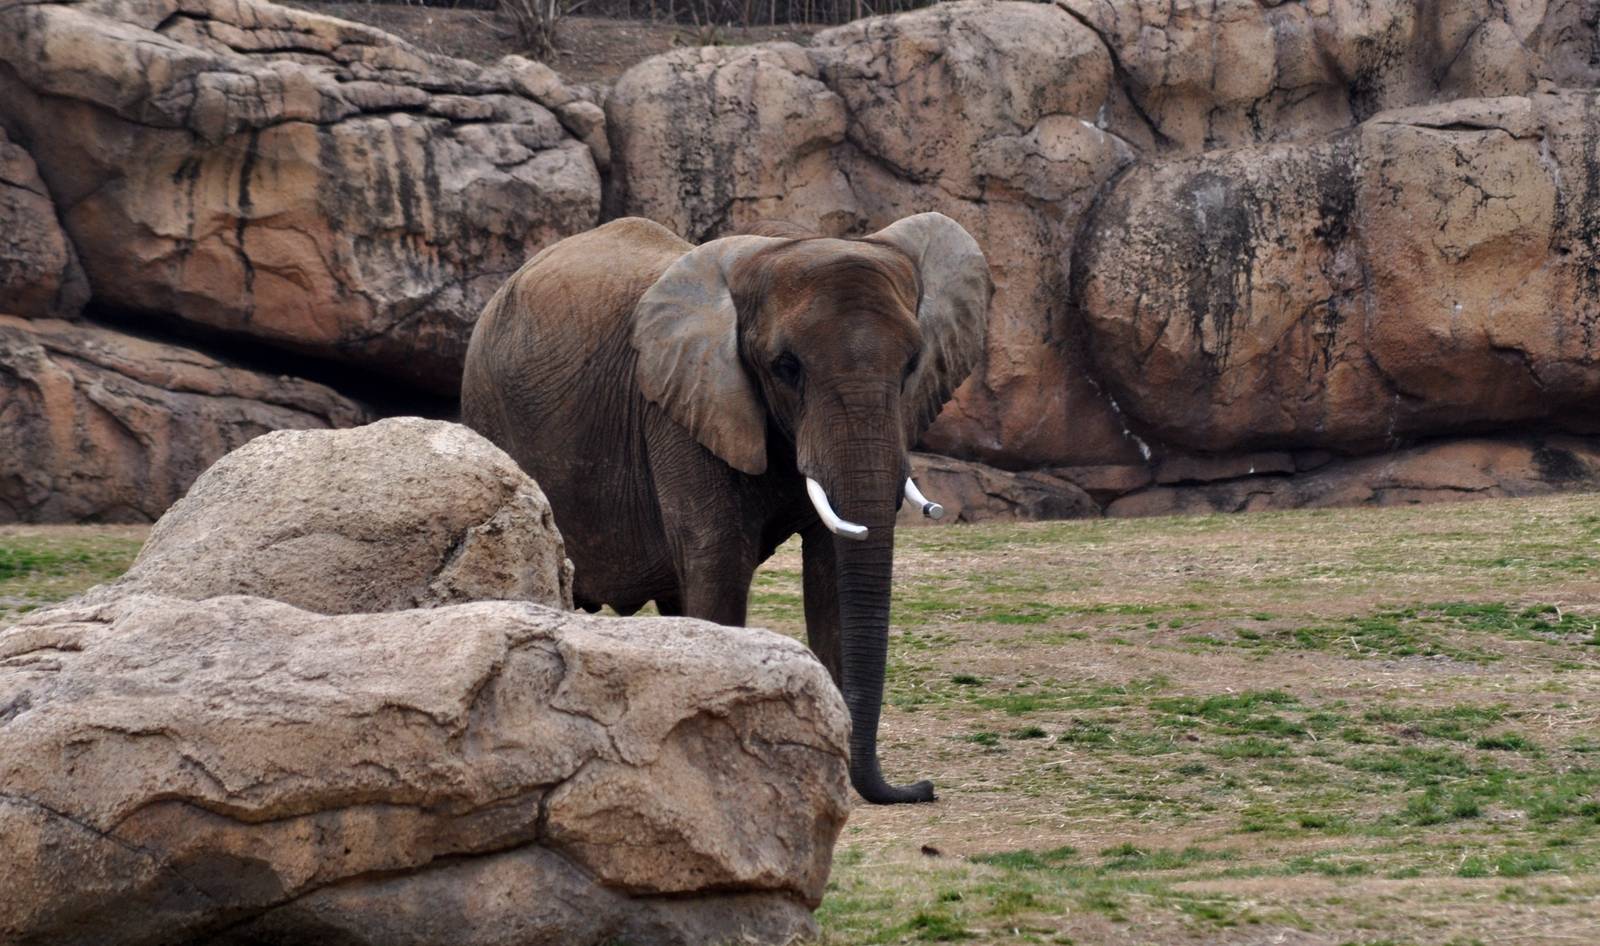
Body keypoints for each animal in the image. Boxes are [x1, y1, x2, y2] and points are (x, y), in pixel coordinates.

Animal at [460, 213, 991, 804]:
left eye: (912, 363)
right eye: (787, 367)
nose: (923, 788)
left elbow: (830, 571)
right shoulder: (678, 409)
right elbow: (720, 561)